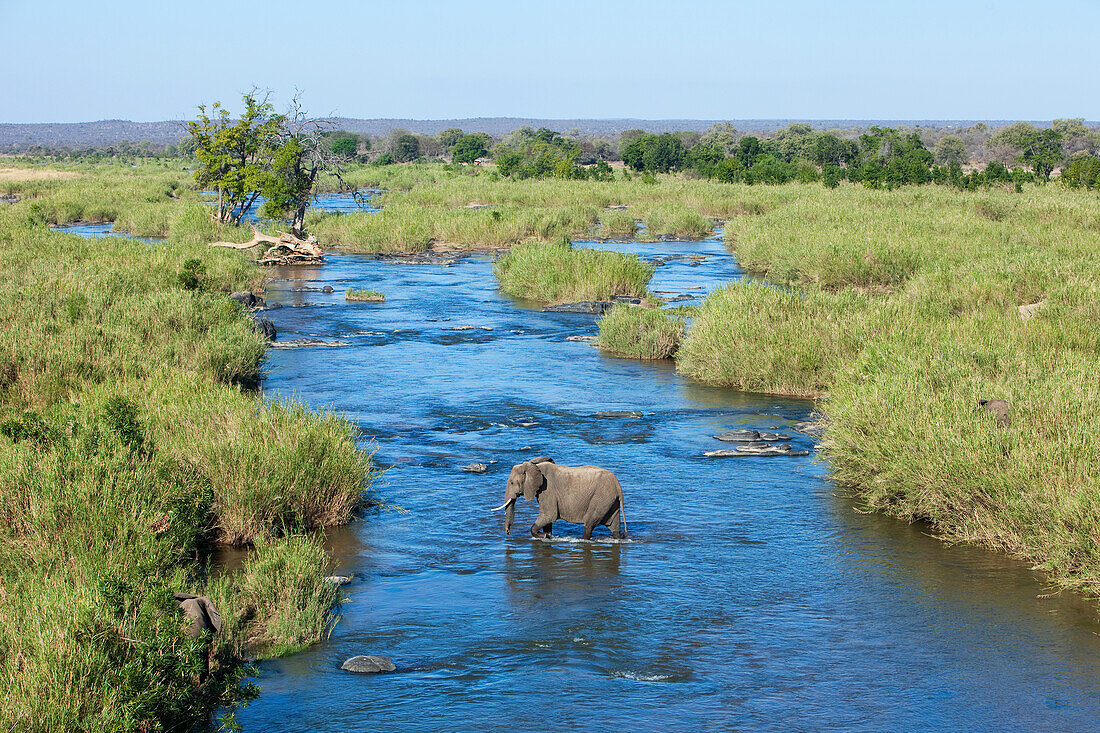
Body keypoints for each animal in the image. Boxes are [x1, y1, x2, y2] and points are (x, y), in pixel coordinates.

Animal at [490, 457, 629, 537]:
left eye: (512, 482)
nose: (508, 532)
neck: (535, 466)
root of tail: (618, 486)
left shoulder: (547, 490)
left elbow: (549, 515)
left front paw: (544, 536)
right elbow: (548, 519)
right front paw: (548, 535)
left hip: (601, 498)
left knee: (589, 524)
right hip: (610, 500)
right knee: (615, 527)